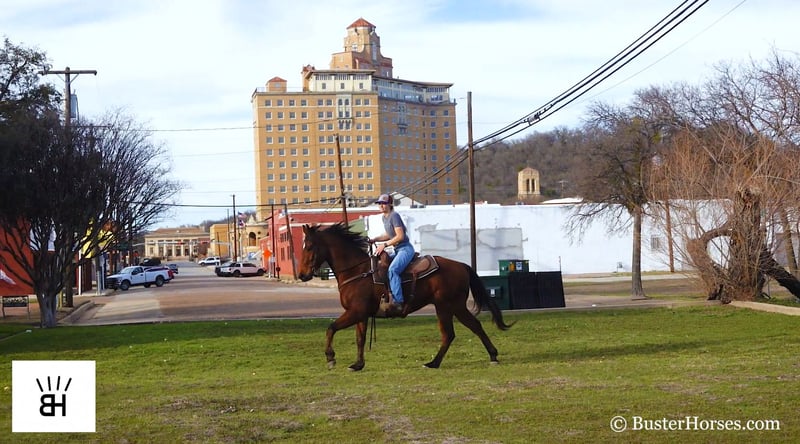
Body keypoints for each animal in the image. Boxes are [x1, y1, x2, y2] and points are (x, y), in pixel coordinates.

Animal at [298, 222, 513, 371]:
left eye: (309, 246)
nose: (301, 275)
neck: (358, 271)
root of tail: (461, 265)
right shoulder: (361, 315)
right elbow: (360, 339)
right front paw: (358, 364)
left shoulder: (356, 312)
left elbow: (331, 328)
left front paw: (330, 358)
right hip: (450, 307)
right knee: (467, 328)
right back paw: (486, 356)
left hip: (449, 306)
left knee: (454, 332)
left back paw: (435, 362)